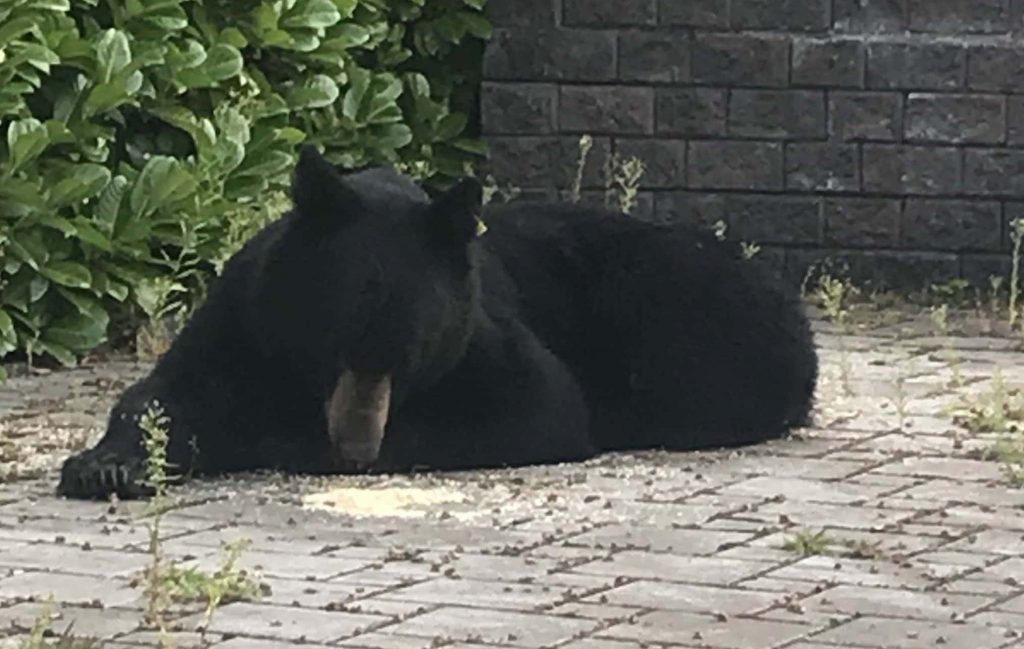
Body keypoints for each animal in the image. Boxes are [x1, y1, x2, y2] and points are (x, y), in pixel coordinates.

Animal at [57, 145, 817, 500]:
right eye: (336, 341)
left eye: (412, 354)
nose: (356, 449)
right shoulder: (244, 314)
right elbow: (167, 391)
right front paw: (107, 465)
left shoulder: (480, 334)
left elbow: (536, 406)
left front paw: (268, 434)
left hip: (683, 316)